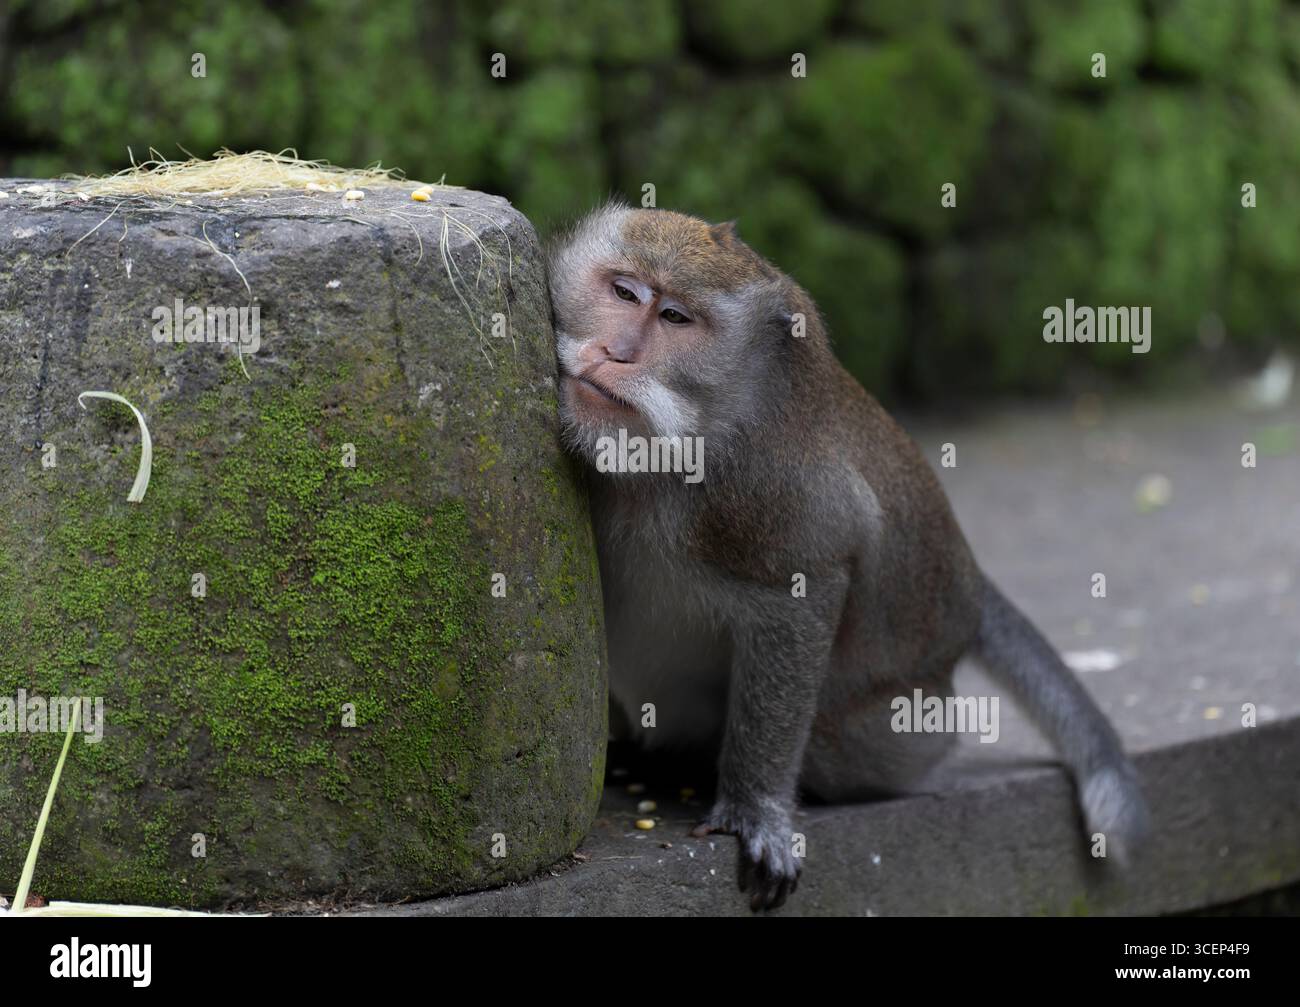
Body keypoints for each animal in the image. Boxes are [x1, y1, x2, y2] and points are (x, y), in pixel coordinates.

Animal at [546, 203, 1149, 911]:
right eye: (623, 292)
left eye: (674, 318)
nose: (615, 351)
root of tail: (969, 592)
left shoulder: (768, 491)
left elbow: (804, 589)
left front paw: (756, 808)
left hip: (904, 716)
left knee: (841, 749)